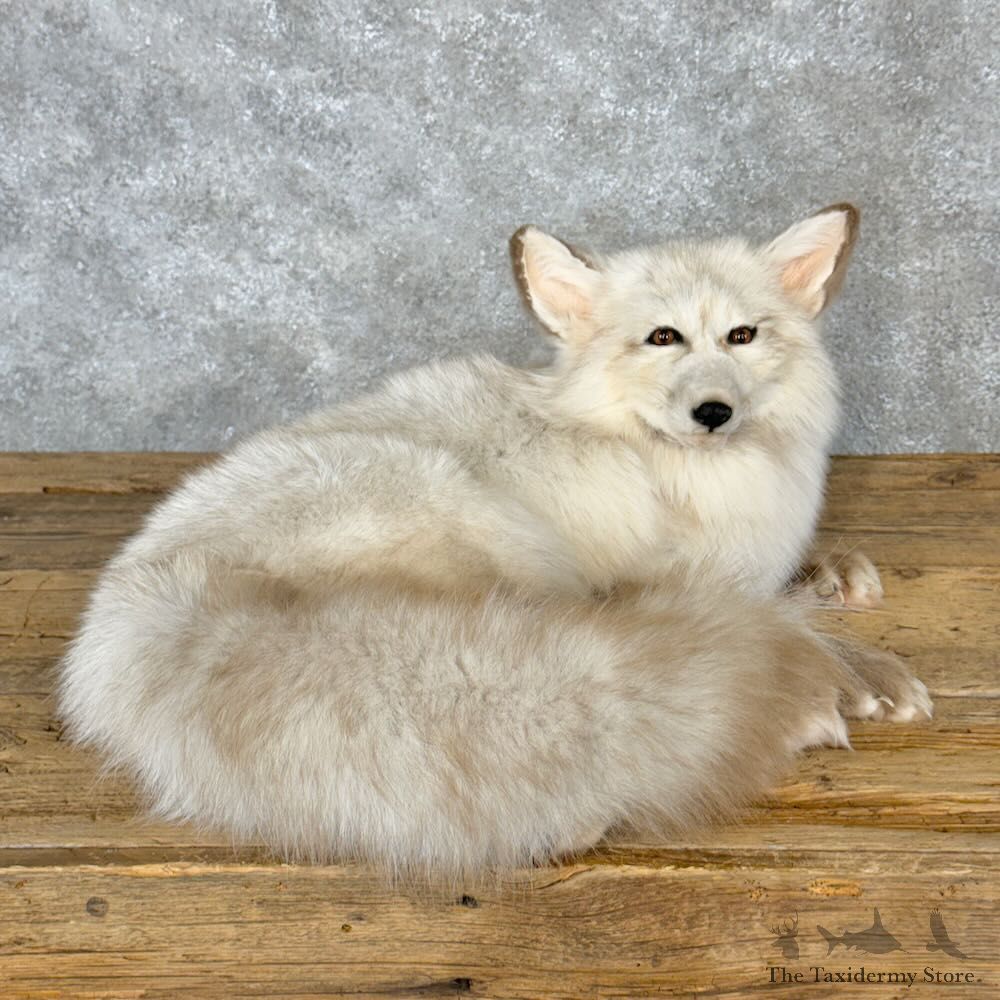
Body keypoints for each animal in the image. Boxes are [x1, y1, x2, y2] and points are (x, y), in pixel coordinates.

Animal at [59, 204, 932, 876]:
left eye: (742, 336)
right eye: (664, 339)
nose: (712, 413)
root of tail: (153, 597)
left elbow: (788, 591)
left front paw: (834, 579)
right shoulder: (653, 577)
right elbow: (759, 618)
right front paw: (860, 670)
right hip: (484, 525)